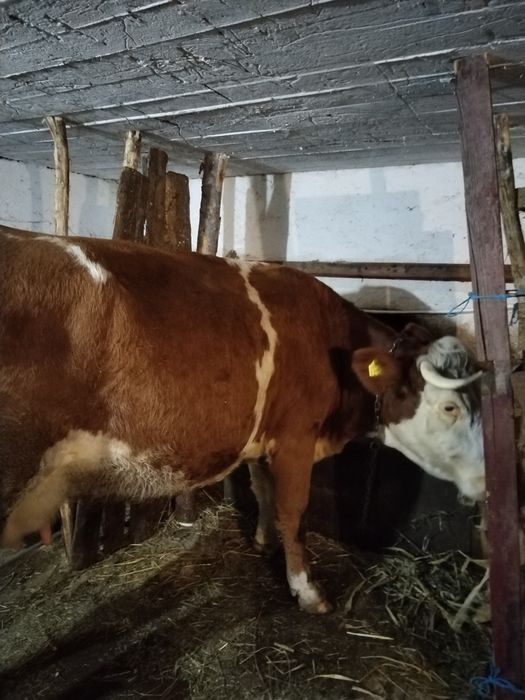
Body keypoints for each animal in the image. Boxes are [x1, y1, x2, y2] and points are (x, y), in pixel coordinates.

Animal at [0, 227, 484, 613]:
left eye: (478, 398)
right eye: (450, 407)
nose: (485, 481)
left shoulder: (264, 438)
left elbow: (262, 491)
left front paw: (263, 541)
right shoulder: (295, 437)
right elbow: (294, 511)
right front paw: (307, 591)